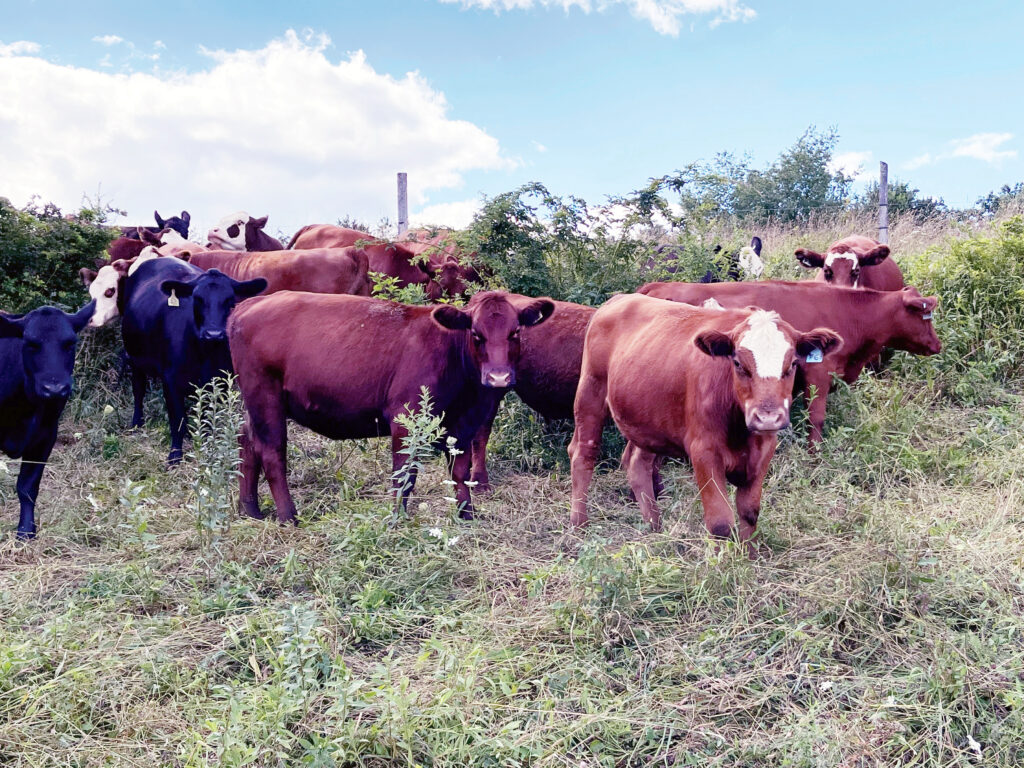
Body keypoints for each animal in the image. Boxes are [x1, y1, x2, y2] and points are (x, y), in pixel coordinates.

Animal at [121, 257, 266, 462]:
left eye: (230, 300)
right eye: (197, 298)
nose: (213, 333)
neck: (205, 354)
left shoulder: (220, 378)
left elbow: (206, 416)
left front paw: (204, 445)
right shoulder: (170, 379)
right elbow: (178, 419)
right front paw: (175, 455)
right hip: (134, 357)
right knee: (138, 389)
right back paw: (137, 422)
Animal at [229, 290, 557, 528]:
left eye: (515, 332)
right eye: (476, 334)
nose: (498, 377)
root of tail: (250, 304)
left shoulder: (464, 425)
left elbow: (460, 471)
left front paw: (467, 514)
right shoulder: (406, 418)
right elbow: (404, 476)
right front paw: (397, 519)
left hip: (254, 404)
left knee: (247, 442)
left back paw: (250, 509)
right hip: (265, 397)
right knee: (272, 452)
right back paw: (288, 516)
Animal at [569, 294, 839, 540]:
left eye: (792, 364)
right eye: (738, 363)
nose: (768, 418)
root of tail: (618, 299)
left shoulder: (764, 450)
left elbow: (750, 513)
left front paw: (750, 556)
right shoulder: (704, 453)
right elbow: (720, 523)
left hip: (646, 419)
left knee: (637, 463)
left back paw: (655, 527)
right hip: (590, 393)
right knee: (583, 453)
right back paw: (579, 526)